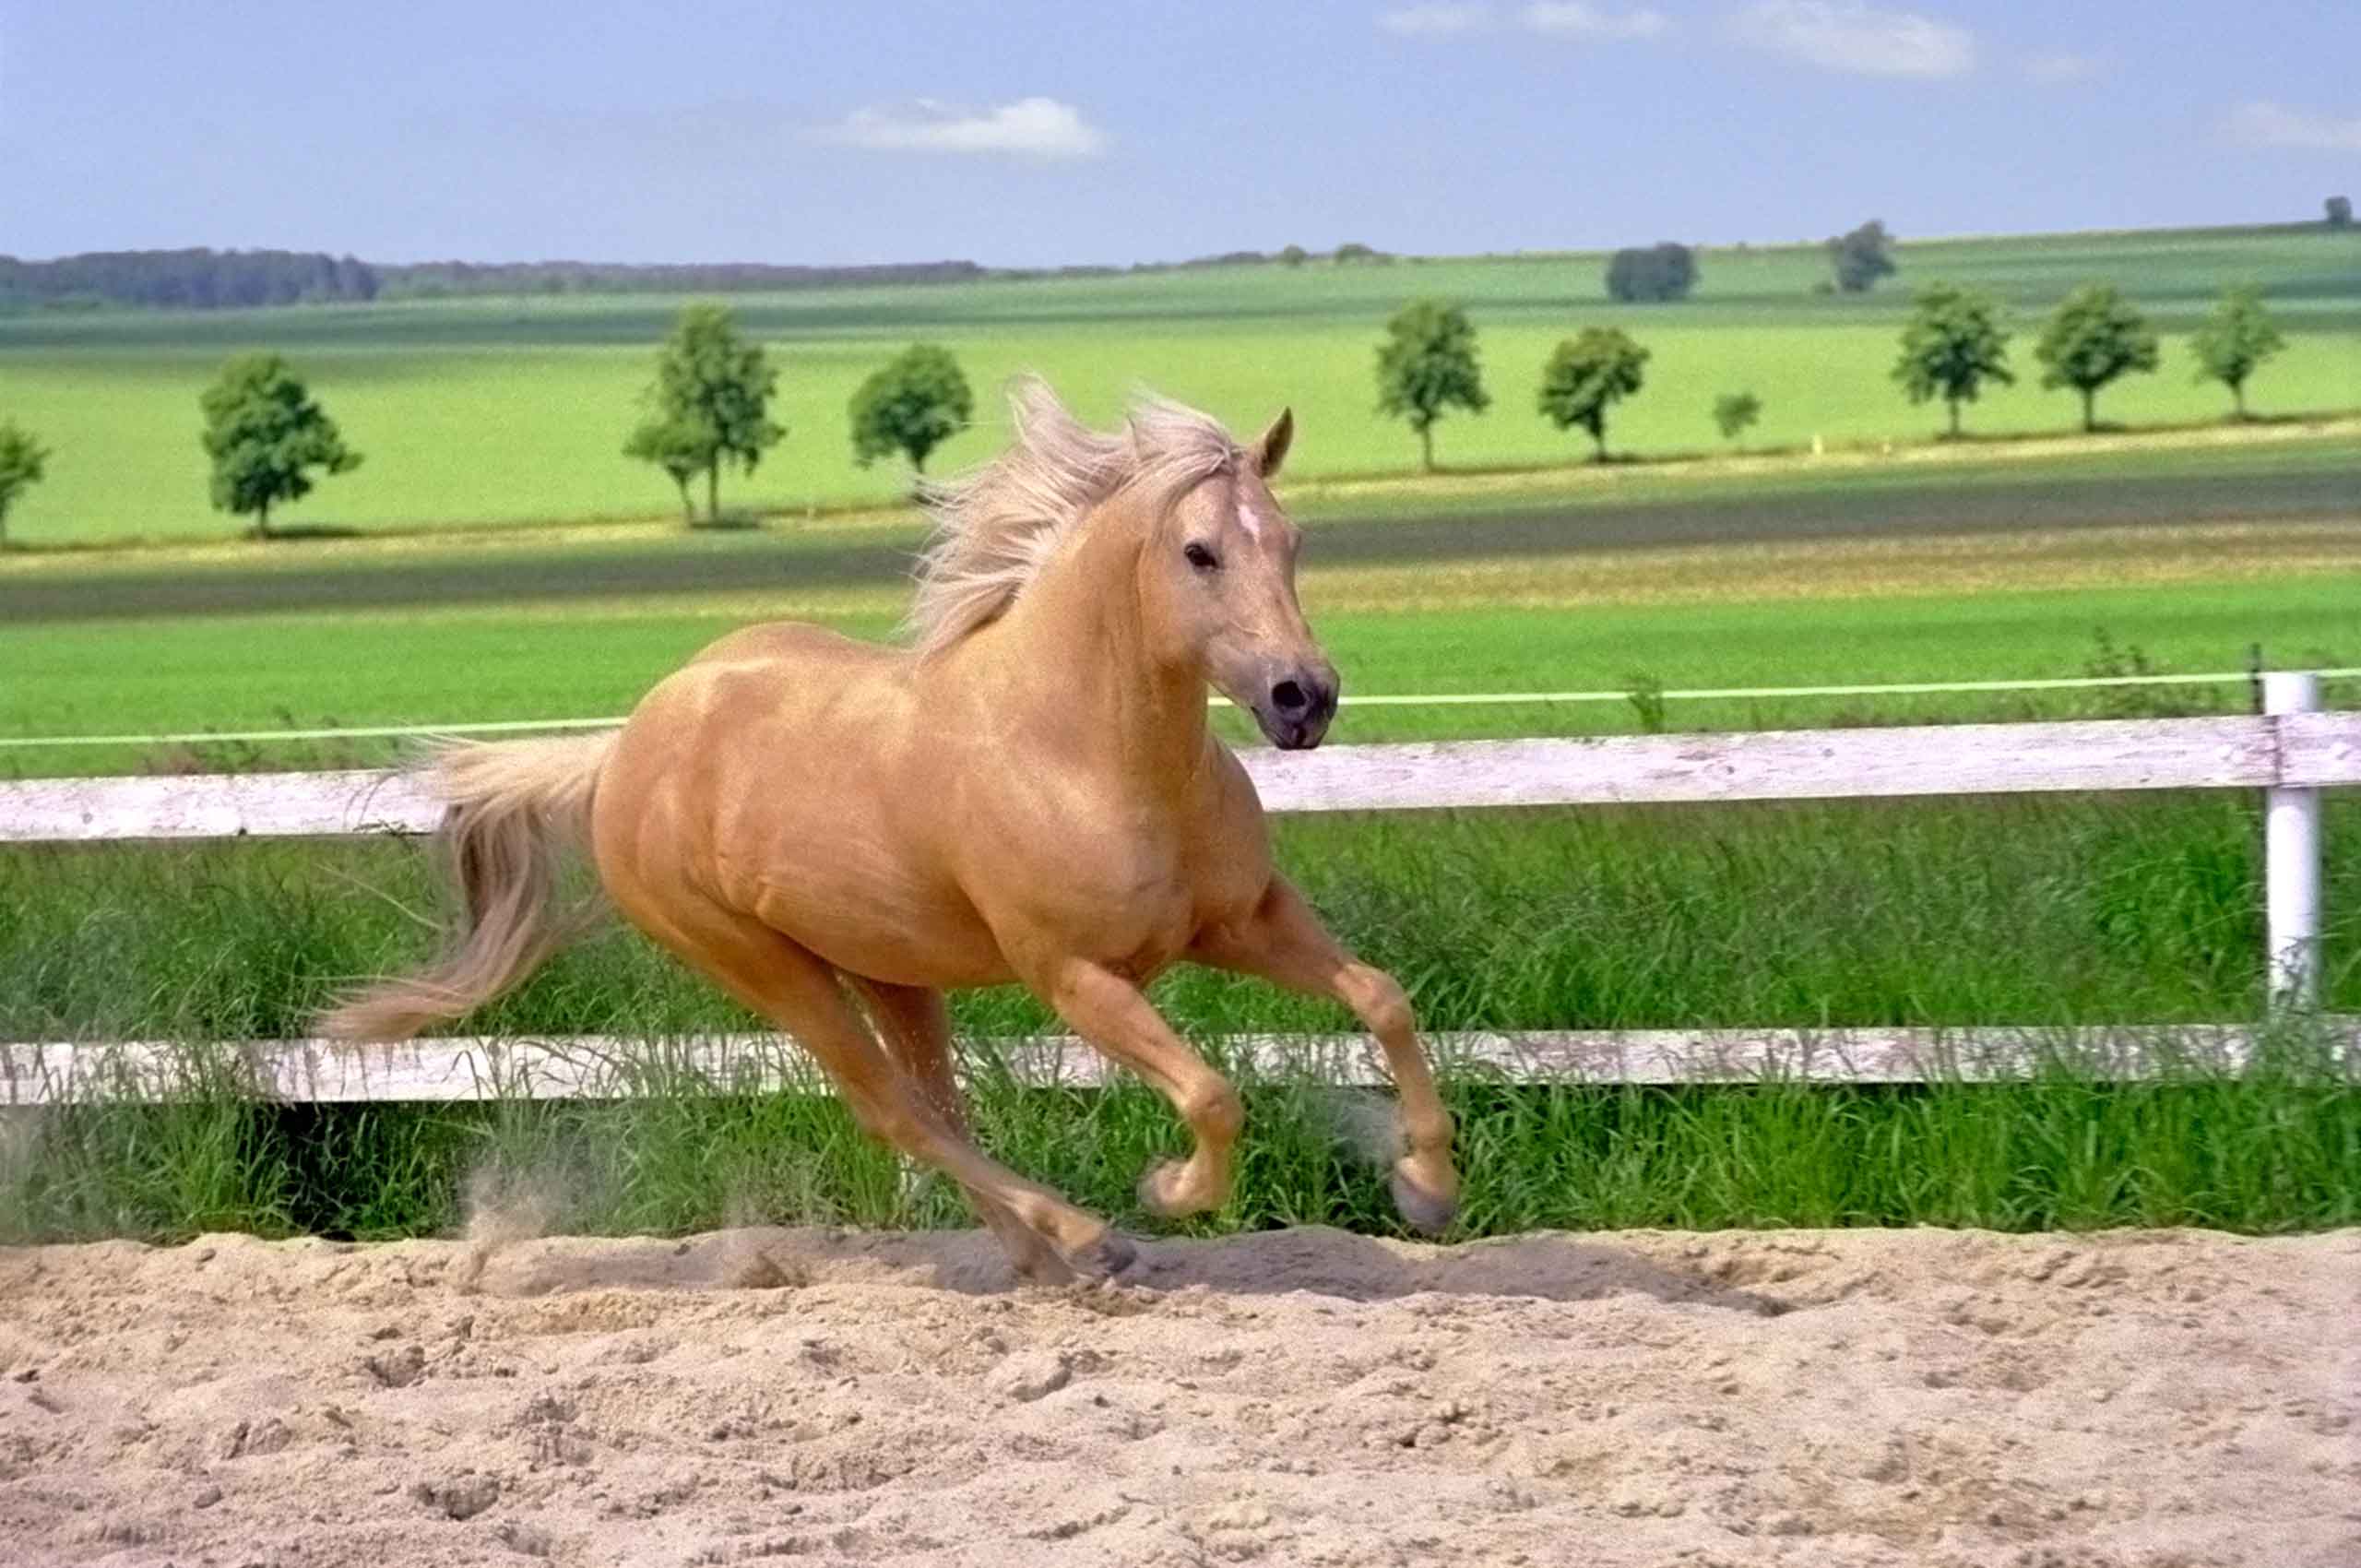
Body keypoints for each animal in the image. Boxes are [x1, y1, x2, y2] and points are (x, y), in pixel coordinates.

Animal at [322, 380, 1461, 1282]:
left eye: (1293, 541)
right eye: (1199, 551)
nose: (1302, 699)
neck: (1087, 753)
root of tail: (624, 752)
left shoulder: (1244, 921)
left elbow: (1382, 998)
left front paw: (1426, 1187)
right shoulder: (1079, 977)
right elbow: (1214, 1093)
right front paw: (1171, 1192)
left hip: (888, 967)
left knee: (933, 1108)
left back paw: (1040, 1257)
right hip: (767, 969)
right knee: (893, 1110)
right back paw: (1088, 1239)